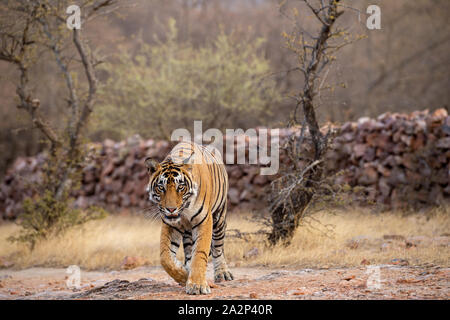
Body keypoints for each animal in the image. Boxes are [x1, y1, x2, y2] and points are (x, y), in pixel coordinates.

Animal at [145, 141, 236, 294]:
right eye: (161, 187)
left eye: (180, 187)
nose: (171, 209)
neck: (184, 210)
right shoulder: (170, 224)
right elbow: (165, 257)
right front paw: (184, 275)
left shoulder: (204, 221)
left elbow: (200, 253)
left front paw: (197, 285)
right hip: (188, 231)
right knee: (188, 251)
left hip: (219, 218)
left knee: (218, 248)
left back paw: (223, 273)